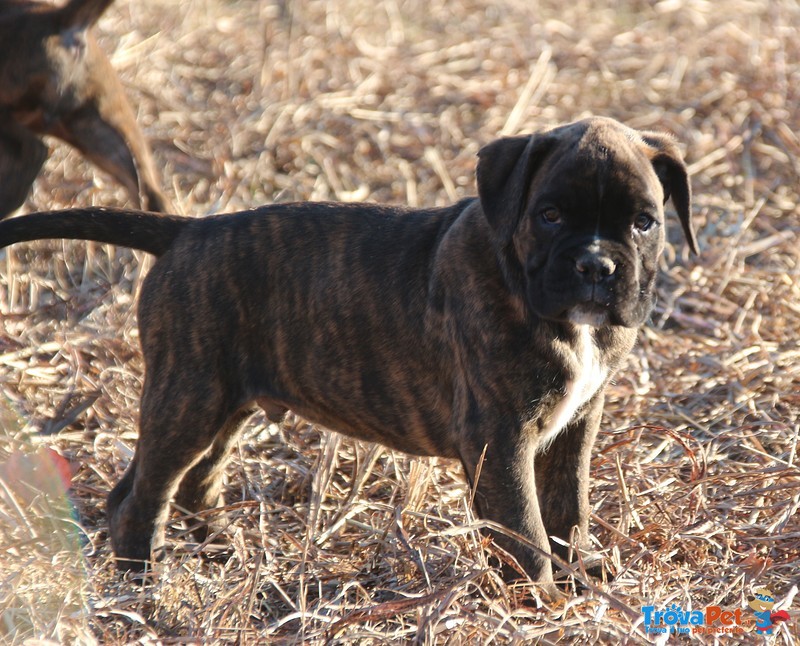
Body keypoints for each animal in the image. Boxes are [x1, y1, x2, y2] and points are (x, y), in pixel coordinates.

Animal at [0, 119, 696, 596]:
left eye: (644, 222)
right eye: (549, 215)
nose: (596, 267)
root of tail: (187, 231)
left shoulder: (576, 424)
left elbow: (567, 509)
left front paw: (581, 576)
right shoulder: (500, 436)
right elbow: (523, 525)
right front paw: (542, 601)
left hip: (224, 401)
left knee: (192, 481)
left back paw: (224, 554)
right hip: (188, 396)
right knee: (142, 496)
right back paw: (143, 587)